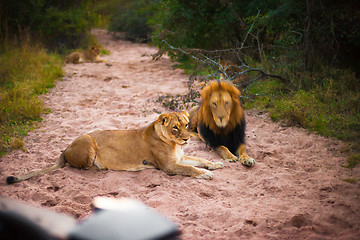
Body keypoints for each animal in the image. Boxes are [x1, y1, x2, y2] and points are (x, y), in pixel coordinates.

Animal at [7, 110, 224, 184]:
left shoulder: (180, 157)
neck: (173, 144)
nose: (187, 140)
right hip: (89, 142)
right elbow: (190, 169)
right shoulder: (168, 166)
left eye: (186, 125)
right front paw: (206, 174)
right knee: (81, 167)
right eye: (175, 128)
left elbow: (199, 159)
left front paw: (216, 165)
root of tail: (66, 147)